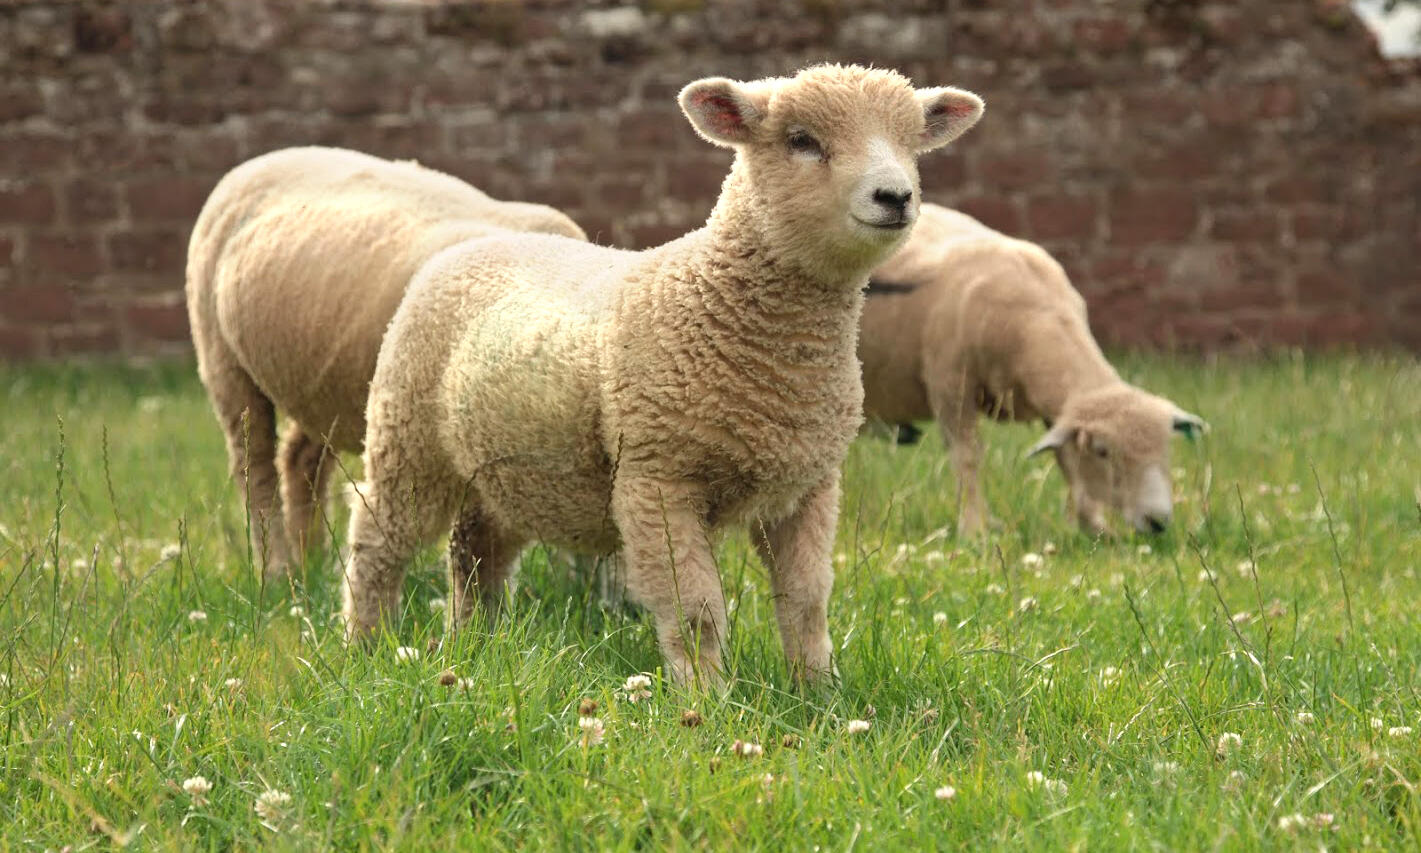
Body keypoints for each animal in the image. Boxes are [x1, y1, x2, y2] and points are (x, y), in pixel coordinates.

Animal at [185, 146, 587, 577]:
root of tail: (261, 161)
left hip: (320, 383)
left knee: (300, 458)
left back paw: (313, 561)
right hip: (221, 356)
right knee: (255, 466)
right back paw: (277, 568)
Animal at [341, 64, 985, 685]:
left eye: (911, 143)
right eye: (801, 141)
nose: (895, 196)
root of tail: (476, 244)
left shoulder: (808, 485)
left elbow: (807, 603)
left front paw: (820, 695)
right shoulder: (658, 479)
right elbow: (696, 611)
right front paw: (706, 702)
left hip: (505, 468)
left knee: (476, 553)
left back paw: (473, 642)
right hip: (409, 436)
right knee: (378, 540)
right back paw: (366, 646)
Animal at [857, 203, 1206, 537]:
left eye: (1166, 448)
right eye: (1103, 452)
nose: (1157, 521)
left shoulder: (1056, 410)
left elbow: (1066, 459)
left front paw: (1094, 528)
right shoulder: (949, 385)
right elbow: (967, 457)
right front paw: (973, 530)